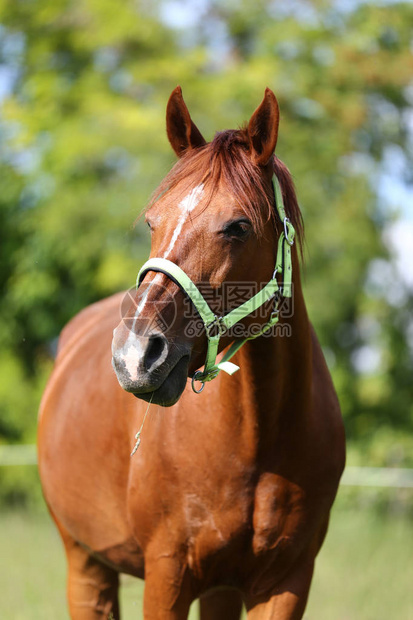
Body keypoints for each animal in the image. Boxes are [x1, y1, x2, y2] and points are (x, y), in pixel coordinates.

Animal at [37, 85, 344, 616]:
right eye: (151, 222)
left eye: (237, 226)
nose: (135, 355)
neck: (260, 438)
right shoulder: (167, 574)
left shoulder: (287, 581)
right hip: (84, 561)